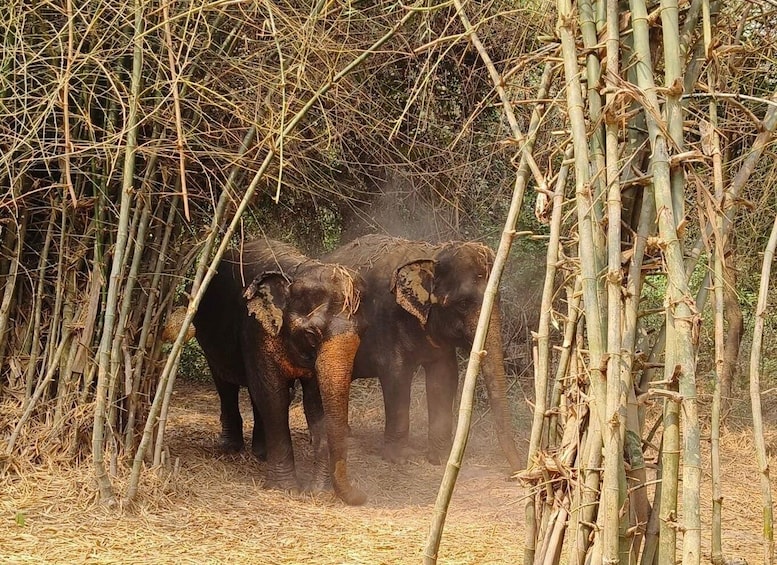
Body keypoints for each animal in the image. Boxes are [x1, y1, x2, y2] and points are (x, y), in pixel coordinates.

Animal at [192, 238, 366, 502]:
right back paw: (231, 448)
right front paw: (285, 489)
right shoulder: (255, 328)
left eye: (361, 334)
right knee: (225, 382)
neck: (297, 272)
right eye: (311, 335)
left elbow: (314, 401)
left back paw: (261, 453)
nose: (362, 496)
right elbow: (273, 395)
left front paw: (319, 491)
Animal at [322, 234, 520, 472]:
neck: (432, 256)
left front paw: (439, 458)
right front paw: (398, 459)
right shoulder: (386, 321)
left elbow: (444, 377)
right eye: (463, 304)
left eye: (497, 300)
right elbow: (396, 377)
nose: (516, 472)